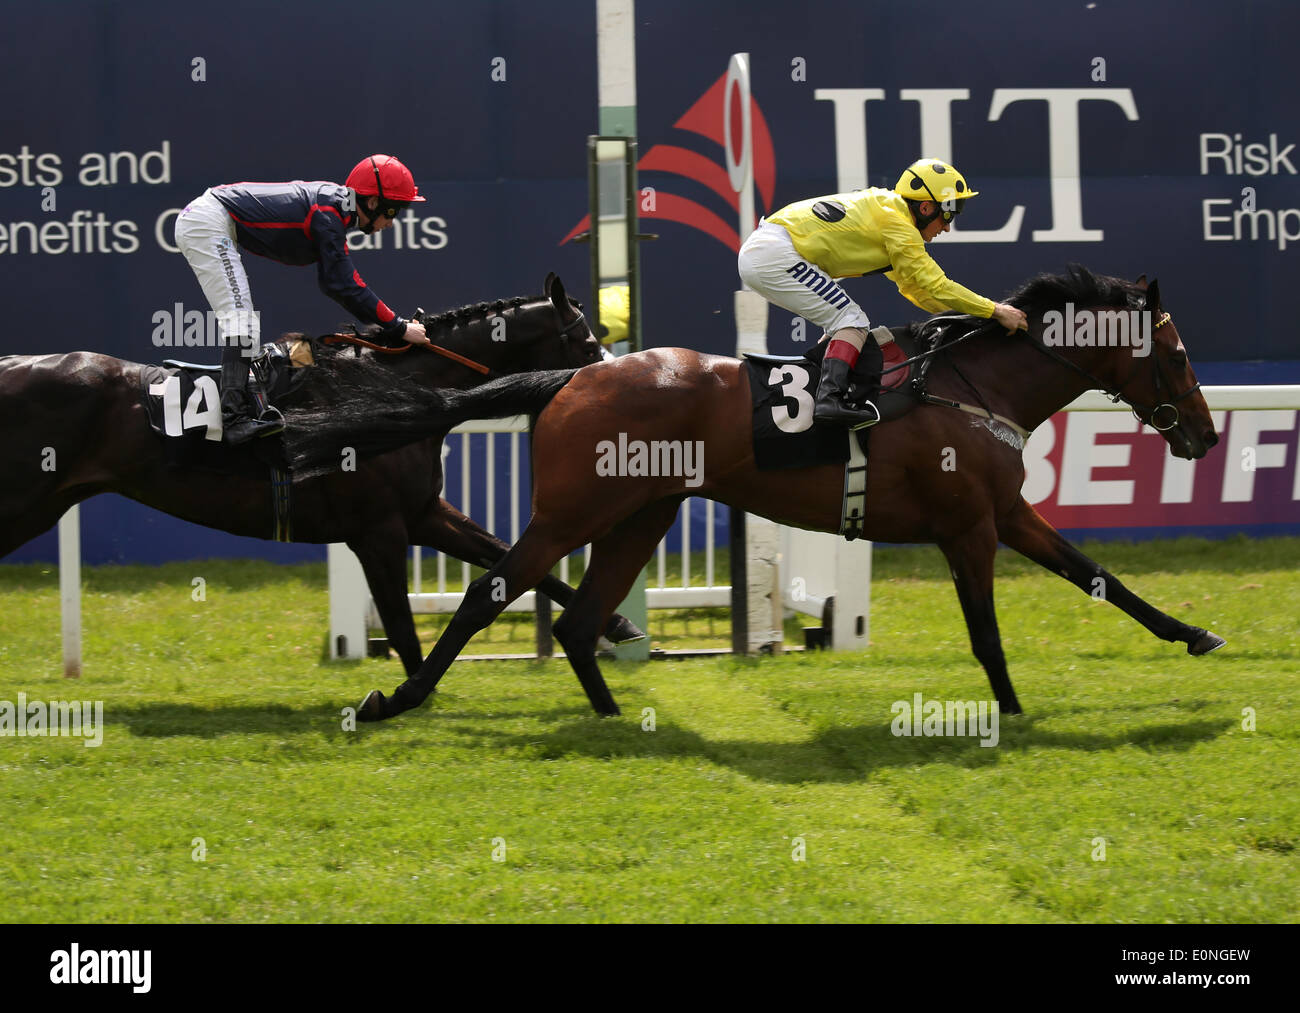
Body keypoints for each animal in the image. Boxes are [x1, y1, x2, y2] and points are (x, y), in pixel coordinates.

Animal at [0, 273, 642, 676]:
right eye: (589, 339)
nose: (616, 383)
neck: (397, 387)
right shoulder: (378, 530)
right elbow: (403, 625)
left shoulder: (422, 514)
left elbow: (507, 559)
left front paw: (618, 625)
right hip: (24, 502)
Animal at [287, 265, 1227, 717]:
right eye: (1177, 353)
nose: (1206, 434)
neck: (973, 382)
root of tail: (569, 377)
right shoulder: (968, 526)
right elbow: (988, 632)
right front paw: (1010, 707)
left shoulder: (1005, 512)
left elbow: (1099, 575)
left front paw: (1196, 634)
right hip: (573, 510)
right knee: (493, 591)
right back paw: (398, 697)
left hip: (645, 510)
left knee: (580, 619)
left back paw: (610, 718)